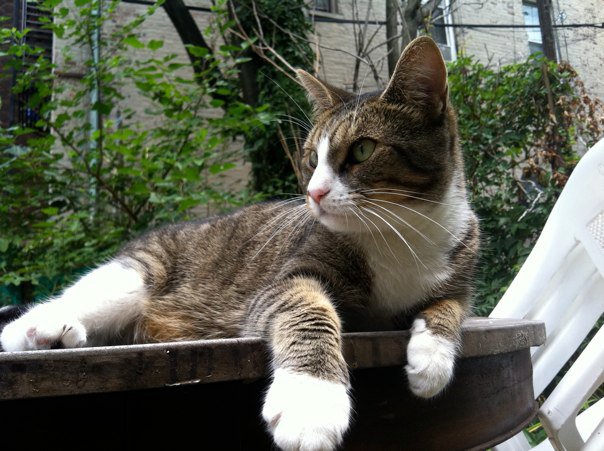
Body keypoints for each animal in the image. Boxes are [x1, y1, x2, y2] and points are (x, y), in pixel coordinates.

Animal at [1, 37, 482, 450]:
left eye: (362, 150)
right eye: (312, 158)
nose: (314, 193)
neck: (400, 230)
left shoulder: (461, 270)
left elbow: (451, 306)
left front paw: (432, 359)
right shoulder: (285, 280)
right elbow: (309, 310)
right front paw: (312, 399)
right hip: (136, 274)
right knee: (64, 304)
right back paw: (43, 328)